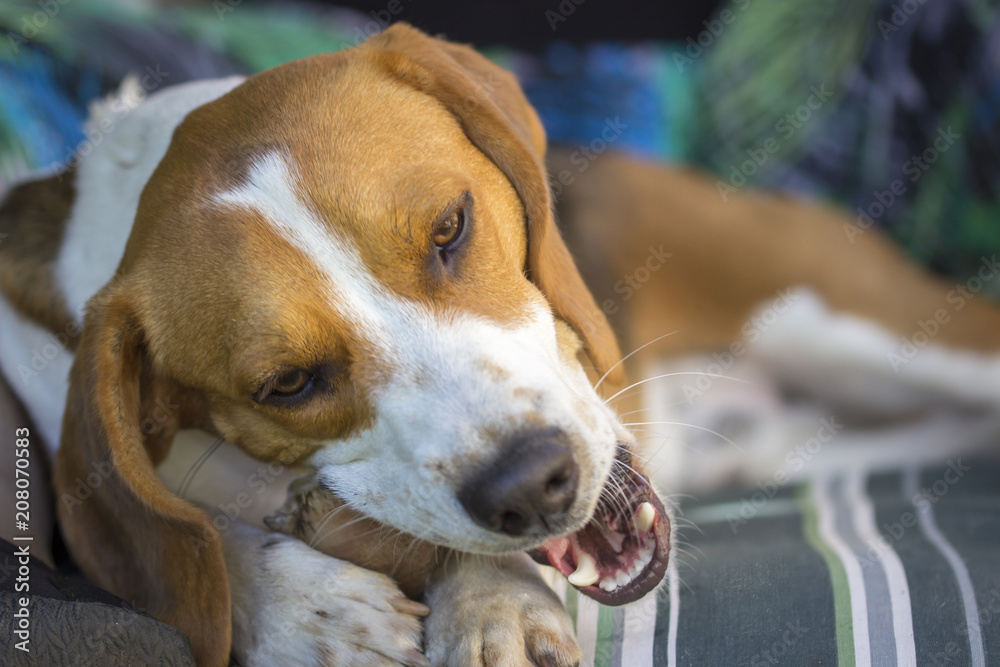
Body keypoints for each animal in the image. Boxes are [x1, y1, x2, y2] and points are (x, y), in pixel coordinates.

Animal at [3, 23, 672, 664]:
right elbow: (199, 545)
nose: (529, 486)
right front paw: (302, 608)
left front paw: (494, 600)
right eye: (288, 384)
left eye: (450, 228)